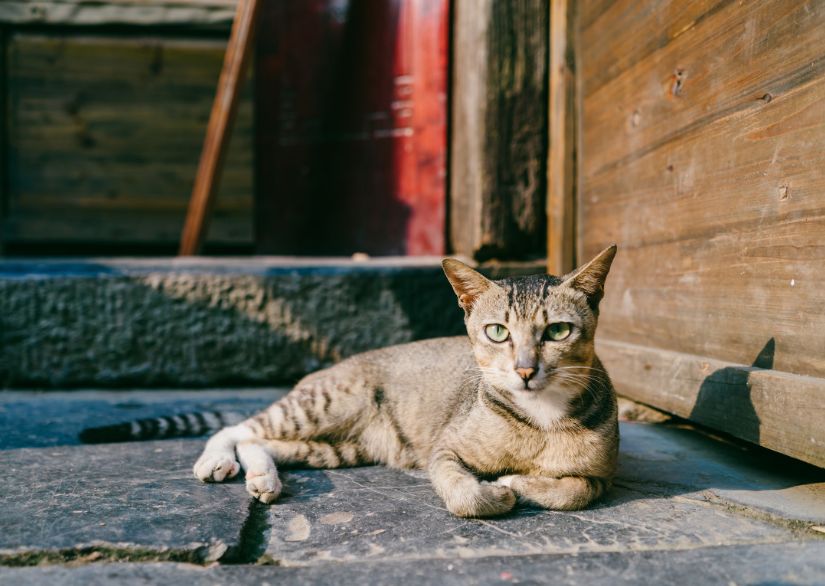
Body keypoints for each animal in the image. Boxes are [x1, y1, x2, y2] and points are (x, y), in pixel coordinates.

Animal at [190, 245, 616, 516]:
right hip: (325, 405)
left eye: (558, 331)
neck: (540, 416)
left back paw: (263, 478)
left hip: (345, 447)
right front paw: (498, 492)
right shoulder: (444, 449)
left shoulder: (604, 476)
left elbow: (576, 491)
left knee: (259, 442)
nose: (525, 370)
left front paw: (516, 482)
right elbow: (463, 495)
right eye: (497, 332)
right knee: (238, 429)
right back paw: (215, 461)